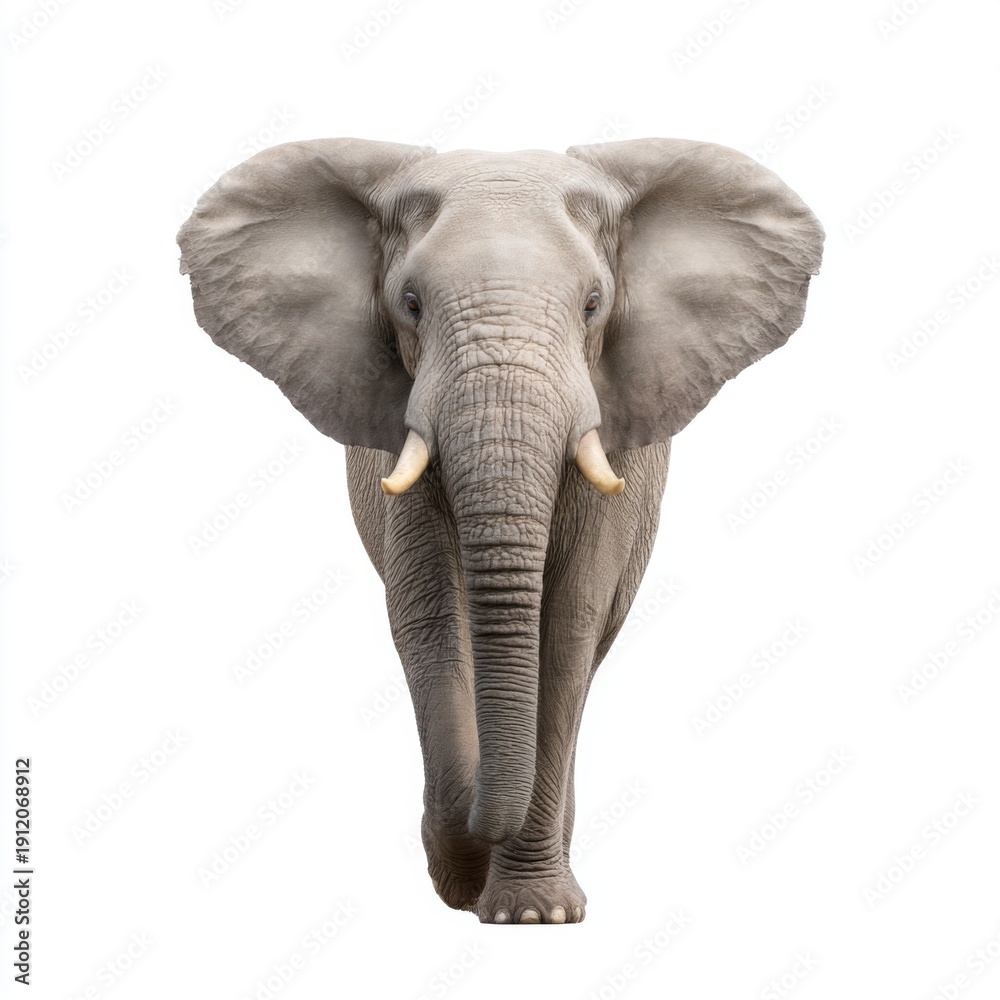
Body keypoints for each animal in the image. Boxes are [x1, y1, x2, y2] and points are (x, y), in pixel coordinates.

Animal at [177, 136, 823, 924]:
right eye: (411, 304)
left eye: (593, 304)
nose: (470, 854)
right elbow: (429, 613)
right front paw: (460, 873)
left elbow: (568, 620)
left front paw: (533, 913)